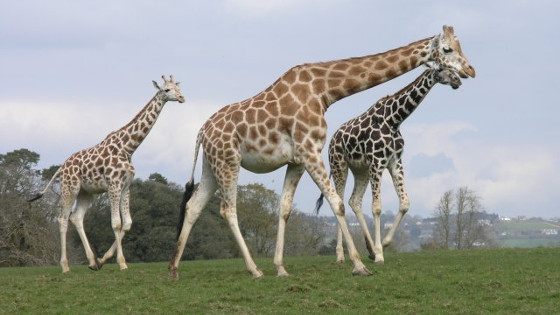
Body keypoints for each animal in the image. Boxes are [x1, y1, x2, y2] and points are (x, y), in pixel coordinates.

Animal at [28, 75, 185, 272]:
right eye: (166, 90)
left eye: (178, 88)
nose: (182, 98)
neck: (128, 147)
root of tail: (62, 167)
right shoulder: (114, 185)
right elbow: (116, 223)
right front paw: (122, 263)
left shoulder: (126, 186)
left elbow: (127, 223)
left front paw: (103, 259)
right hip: (70, 188)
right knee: (62, 219)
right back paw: (65, 266)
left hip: (86, 193)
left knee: (76, 217)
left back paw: (92, 262)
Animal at [316, 68, 464, 266]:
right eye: (442, 68)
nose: (457, 81)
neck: (394, 119)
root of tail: (331, 140)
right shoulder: (377, 161)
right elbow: (377, 207)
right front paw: (379, 254)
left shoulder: (395, 162)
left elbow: (405, 203)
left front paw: (383, 245)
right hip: (339, 165)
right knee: (339, 201)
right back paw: (341, 255)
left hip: (361, 170)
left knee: (354, 201)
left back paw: (369, 249)